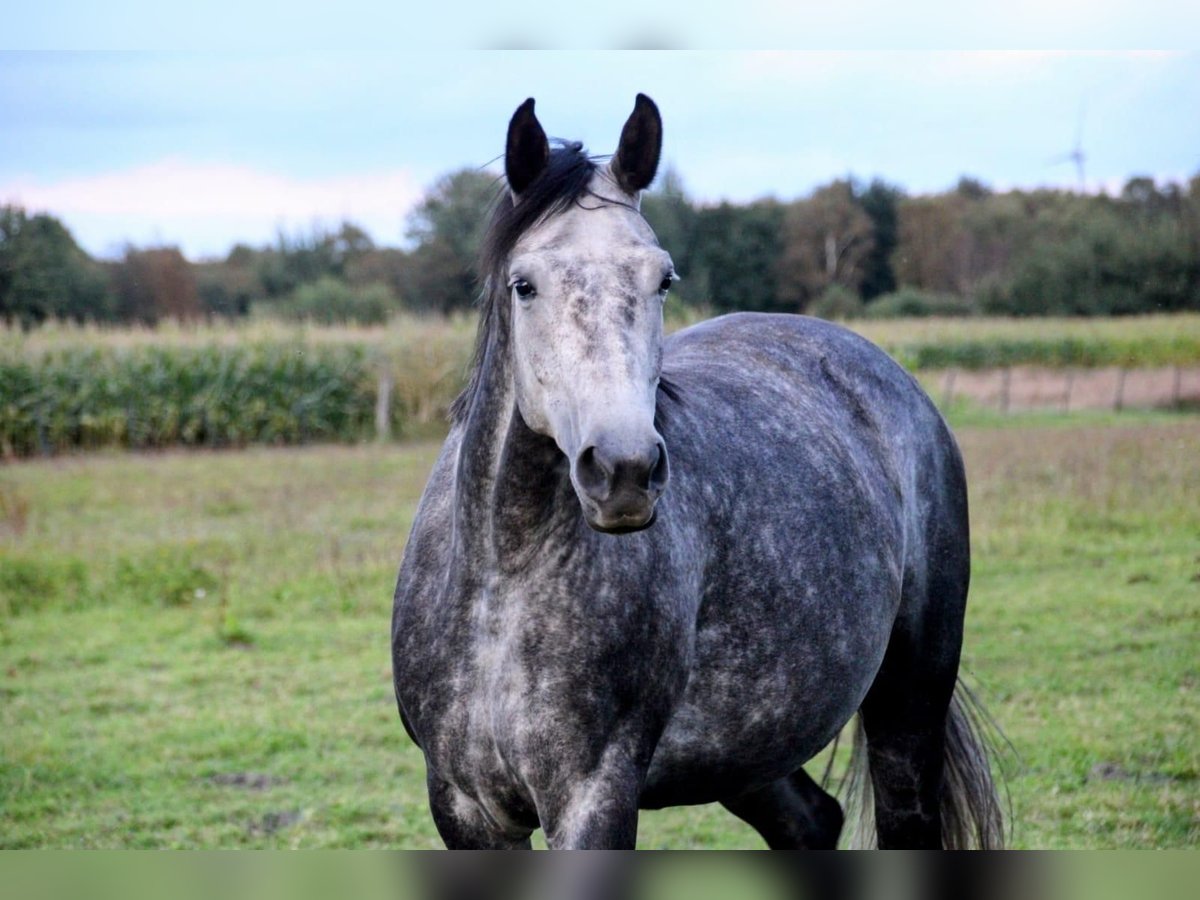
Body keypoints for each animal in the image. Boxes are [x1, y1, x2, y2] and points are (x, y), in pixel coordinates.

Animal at [388, 95, 998, 849]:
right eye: (523, 285)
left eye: (663, 278)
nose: (622, 469)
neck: (500, 579)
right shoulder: (464, 808)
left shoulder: (593, 798)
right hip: (751, 747)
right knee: (812, 821)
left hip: (909, 706)